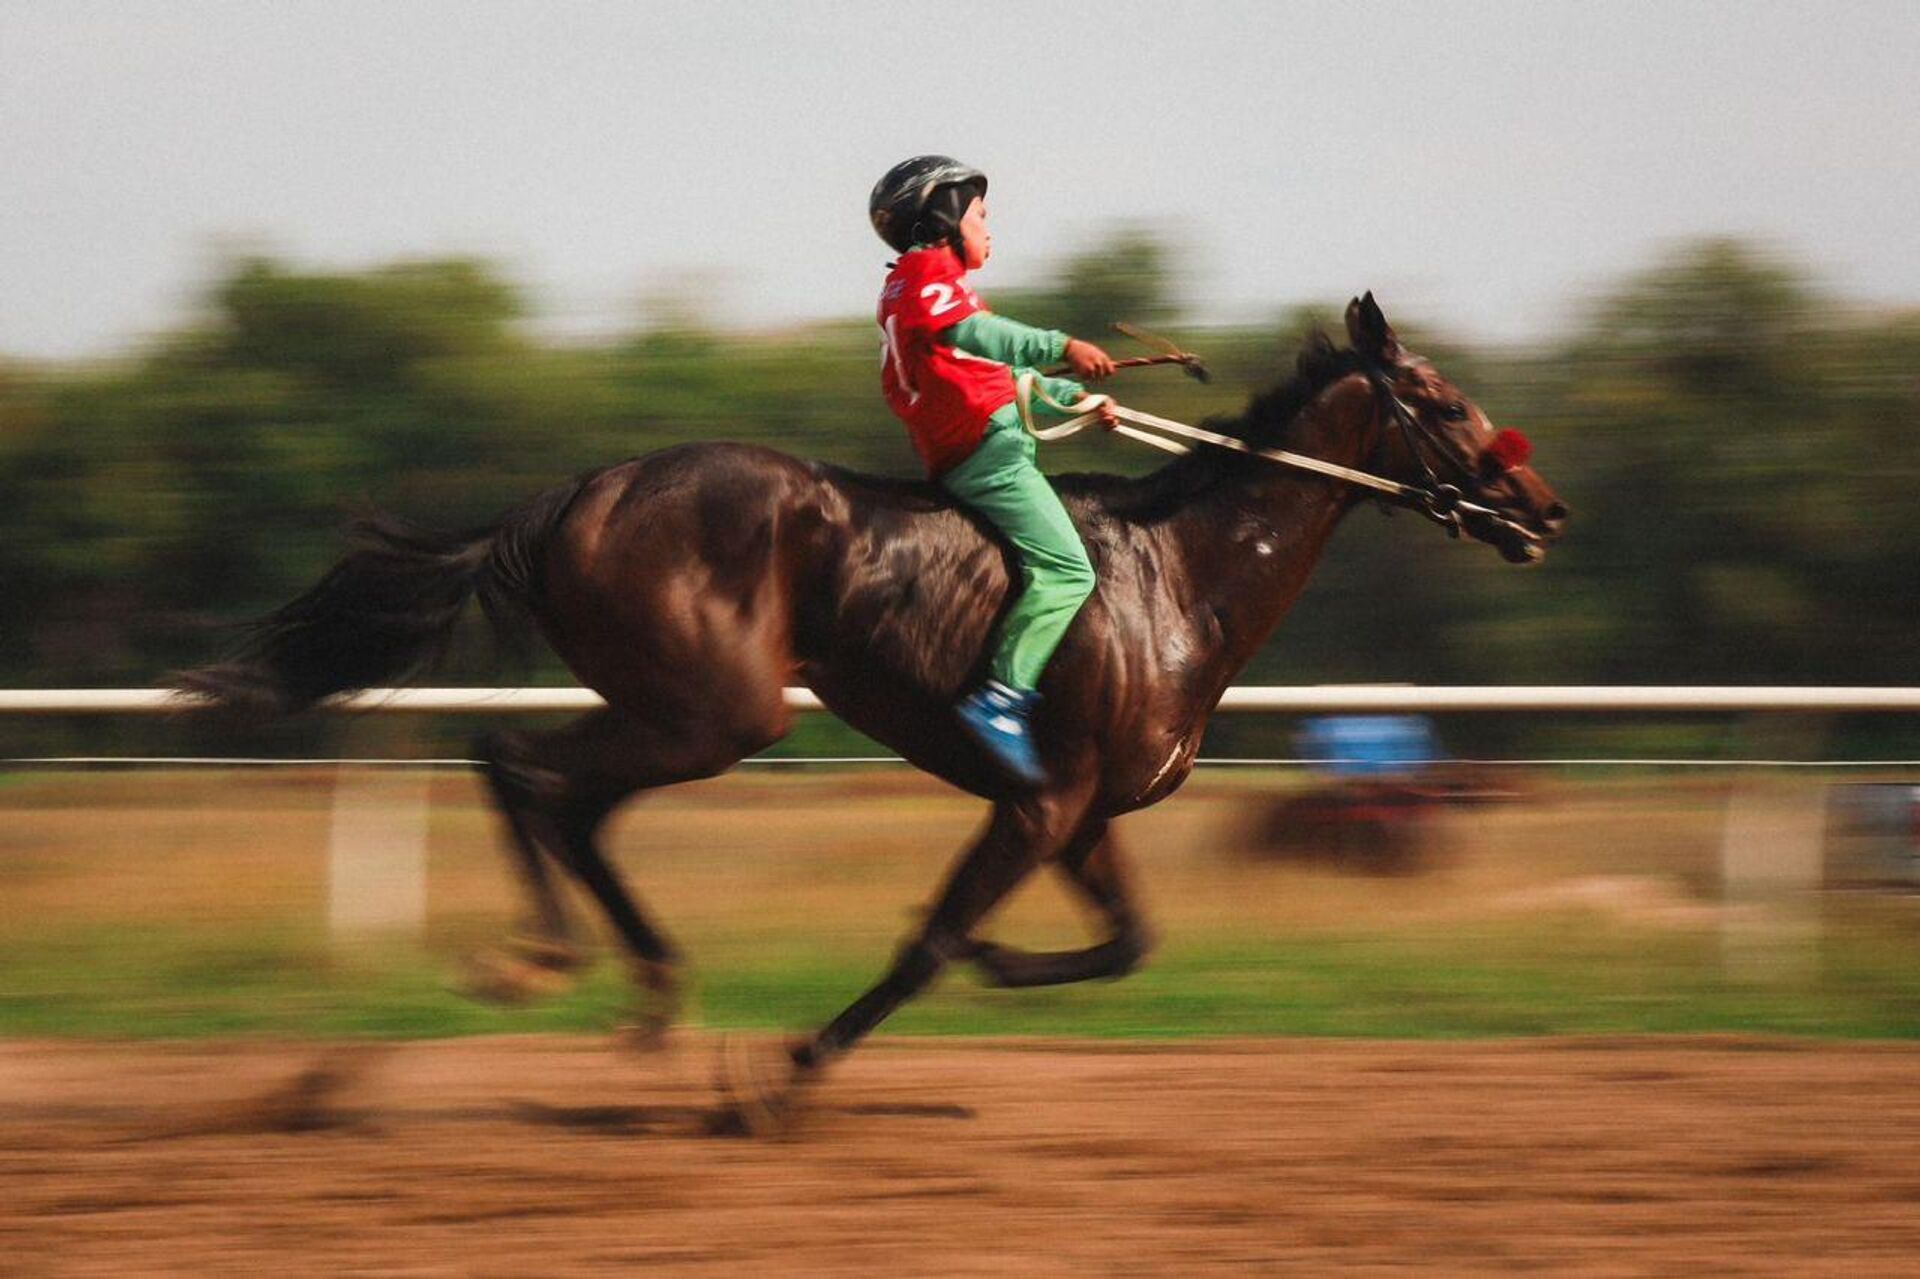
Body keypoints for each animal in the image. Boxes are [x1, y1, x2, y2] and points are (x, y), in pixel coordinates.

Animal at [178, 294, 1566, 1119]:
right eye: (1444, 403)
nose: (1542, 509)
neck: (1180, 577)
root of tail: (582, 491)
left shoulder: (1082, 810)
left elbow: (1125, 942)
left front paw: (1002, 963)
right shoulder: (1041, 799)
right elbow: (932, 939)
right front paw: (788, 1069)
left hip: (685, 706)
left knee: (561, 793)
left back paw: (635, 990)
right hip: (719, 709)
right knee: (521, 762)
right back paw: (542, 961)